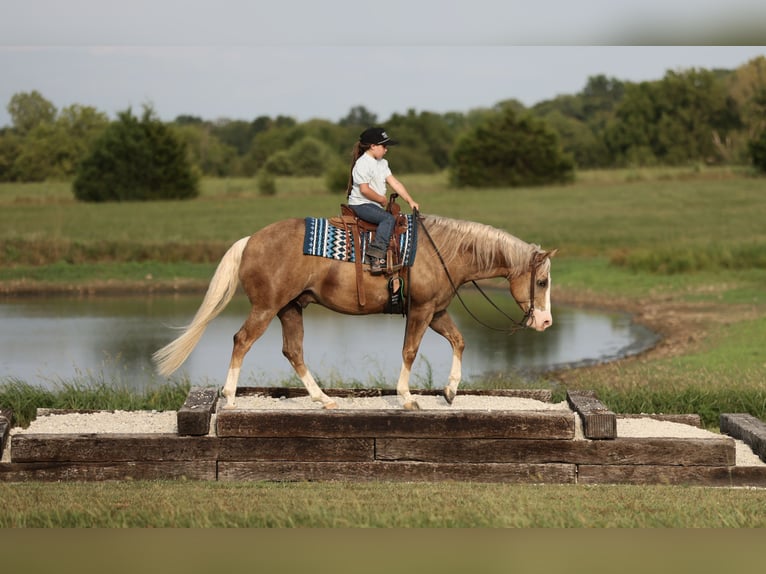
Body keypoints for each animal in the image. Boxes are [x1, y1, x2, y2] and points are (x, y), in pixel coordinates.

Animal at [152, 214, 556, 410]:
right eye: (542, 282)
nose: (546, 321)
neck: (444, 251)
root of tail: (249, 240)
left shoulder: (437, 311)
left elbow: (459, 342)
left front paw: (451, 390)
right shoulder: (422, 311)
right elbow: (410, 351)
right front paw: (407, 398)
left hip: (290, 309)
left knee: (293, 352)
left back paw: (323, 399)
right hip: (266, 308)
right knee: (242, 340)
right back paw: (231, 397)